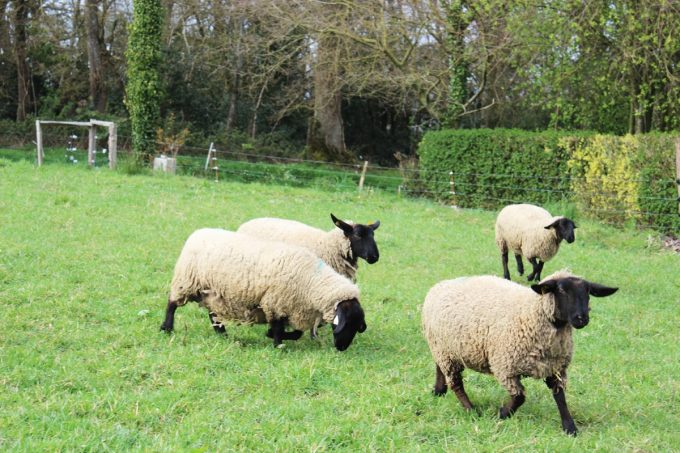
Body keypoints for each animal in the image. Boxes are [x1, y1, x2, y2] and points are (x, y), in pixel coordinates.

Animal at [160, 228, 367, 351]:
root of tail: (197, 233)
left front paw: (276, 337)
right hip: (186, 280)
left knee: (212, 312)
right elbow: (277, 326)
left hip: (213, 292)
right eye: (347, 323)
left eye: (357, 326)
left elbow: (296, 332)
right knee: (172, 303)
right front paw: (277, 343)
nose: (341, 348)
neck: (312, 281)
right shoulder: (275, 302)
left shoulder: (292, 307)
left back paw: (222, 333)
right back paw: (166, 328)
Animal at [421, 270, 617, 435]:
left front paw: (570, 427)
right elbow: (519, 396)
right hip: (446, 351)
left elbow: (560, 397)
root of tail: (440, 285)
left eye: (588, 292)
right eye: (561, 290)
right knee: (456, 384)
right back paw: (471, 410)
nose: (582, 318)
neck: (533, 312)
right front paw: (502, 414)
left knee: (439, 367)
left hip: (443, 348)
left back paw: (439, 390)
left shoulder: (556, 368)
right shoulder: (505, 367)